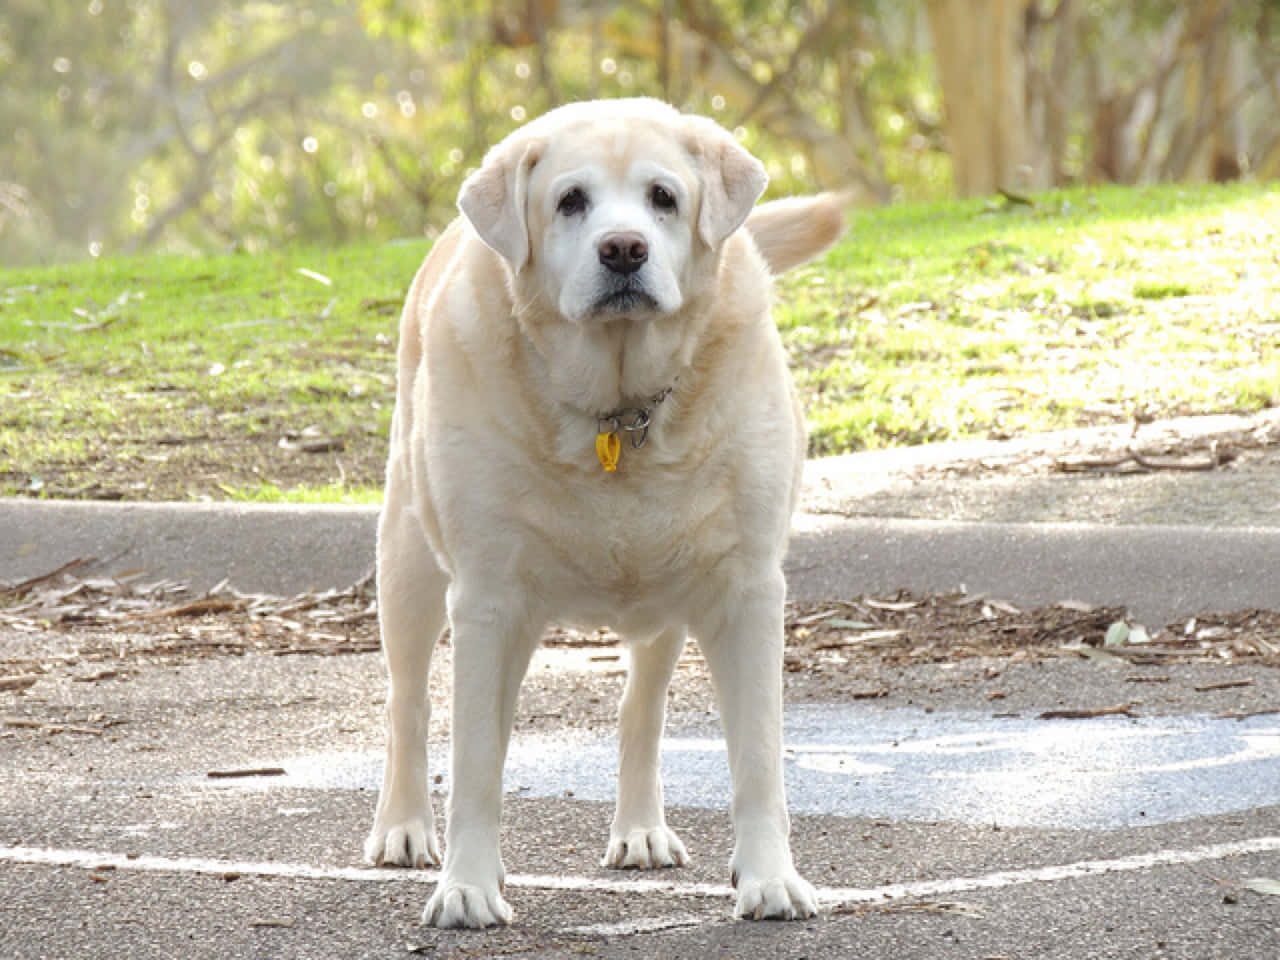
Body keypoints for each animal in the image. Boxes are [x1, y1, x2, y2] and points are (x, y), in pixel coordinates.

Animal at [366, 94, 844, 926]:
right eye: (570, 201)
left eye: (663, 197)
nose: (623, 249)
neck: (619, 408)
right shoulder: (487, 599)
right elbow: (475, 761)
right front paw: (466, 886)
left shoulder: (747, 588)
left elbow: (757, 757)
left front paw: (770, 879)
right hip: (410, 563)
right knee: (410, 703)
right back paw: (403, 828)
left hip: (667, 596)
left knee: (639, 708)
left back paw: (641, 828)